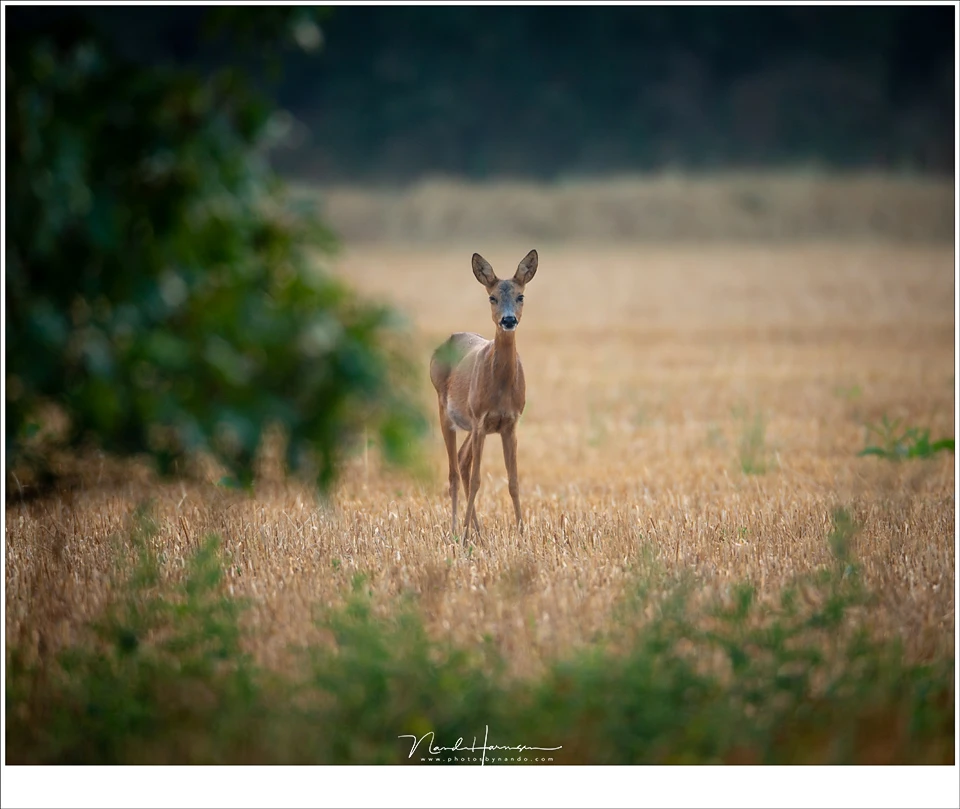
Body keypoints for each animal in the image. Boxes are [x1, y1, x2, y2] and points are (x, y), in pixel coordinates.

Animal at [429, 249, 539, 541]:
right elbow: (478, 479)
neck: (500, 388)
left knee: (462, 461)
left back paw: (477, 530)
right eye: (492, 297)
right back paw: (458, 529)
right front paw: (465, 533)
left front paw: (522, 533)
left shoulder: (509, 423)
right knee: (454, 472)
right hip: (447, 411)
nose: (508, 320)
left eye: (521, 296)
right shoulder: (480, 419)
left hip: (473, 425)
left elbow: (513, 481)